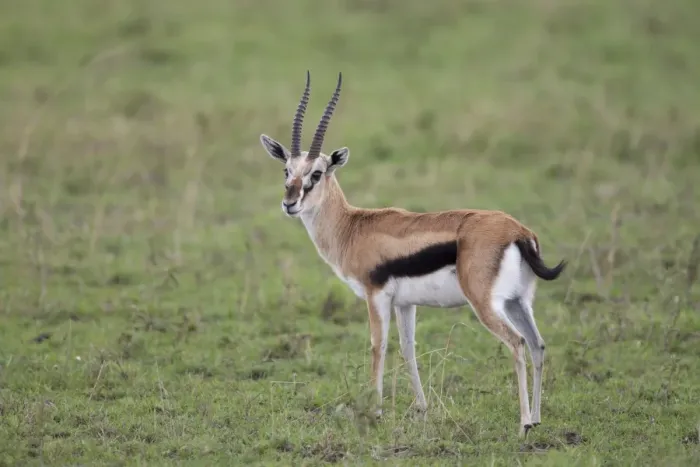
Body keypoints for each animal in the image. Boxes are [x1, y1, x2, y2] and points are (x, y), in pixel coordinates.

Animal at [258, 71, 566, 437]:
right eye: (286, 171)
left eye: (316, 174)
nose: (289, 203)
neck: (352, 228)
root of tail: (518, 232)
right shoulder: (405, 303)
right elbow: (408, 348)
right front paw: (422, 409)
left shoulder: (376, 295)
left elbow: (378, 346)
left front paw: (374, 412)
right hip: (518, 301)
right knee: (537, 344)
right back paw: (537, 417)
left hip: (485, 303)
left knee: (517, 343)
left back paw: (523, 424)